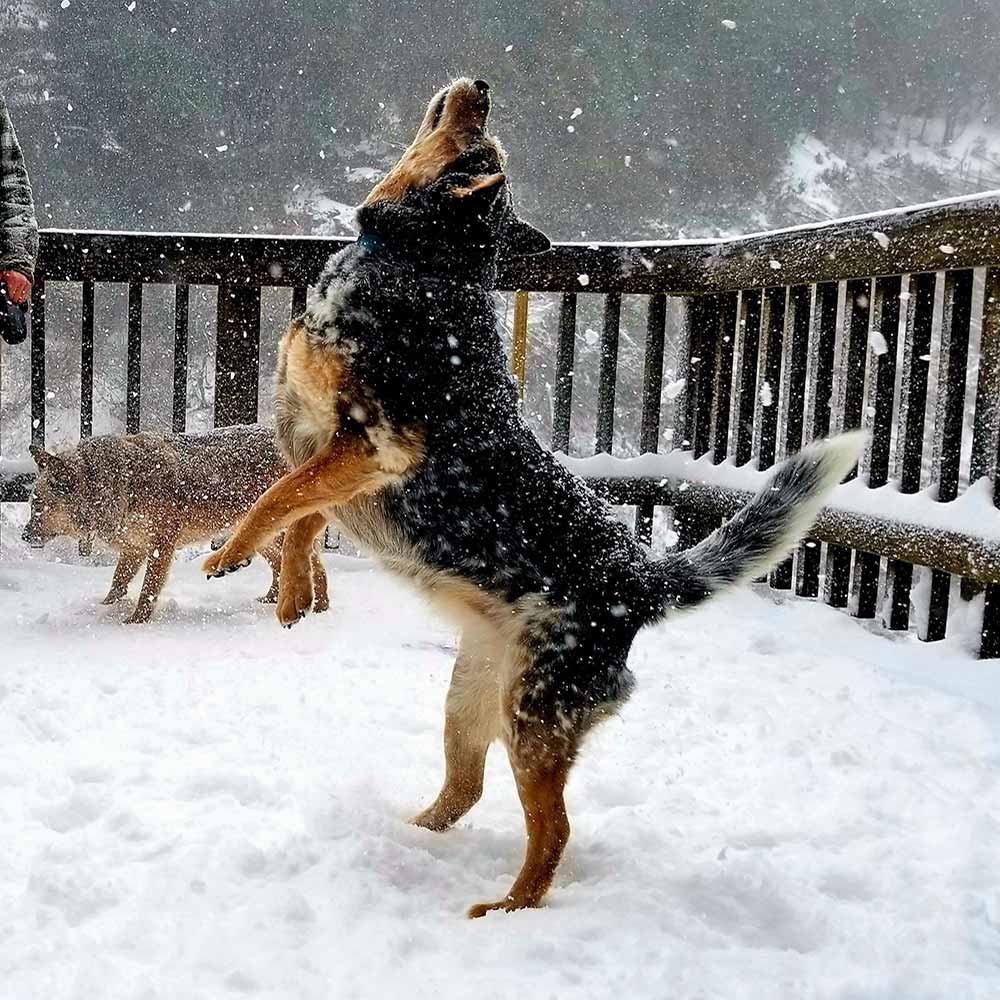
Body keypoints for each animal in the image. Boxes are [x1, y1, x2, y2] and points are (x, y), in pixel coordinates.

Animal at [203, 78, 860, 916]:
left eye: (485, 149)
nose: (482, 87)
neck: (421, 263)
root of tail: (641, 579)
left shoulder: (374, 442)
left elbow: (275, 498)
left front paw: (229, 553)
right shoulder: (331, 450)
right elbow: (299, 516)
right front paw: (287, 593)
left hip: (534, 723)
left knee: (553, 833)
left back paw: (507, 910)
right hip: (468, 699)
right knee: (466, 790)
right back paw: (412, 836)